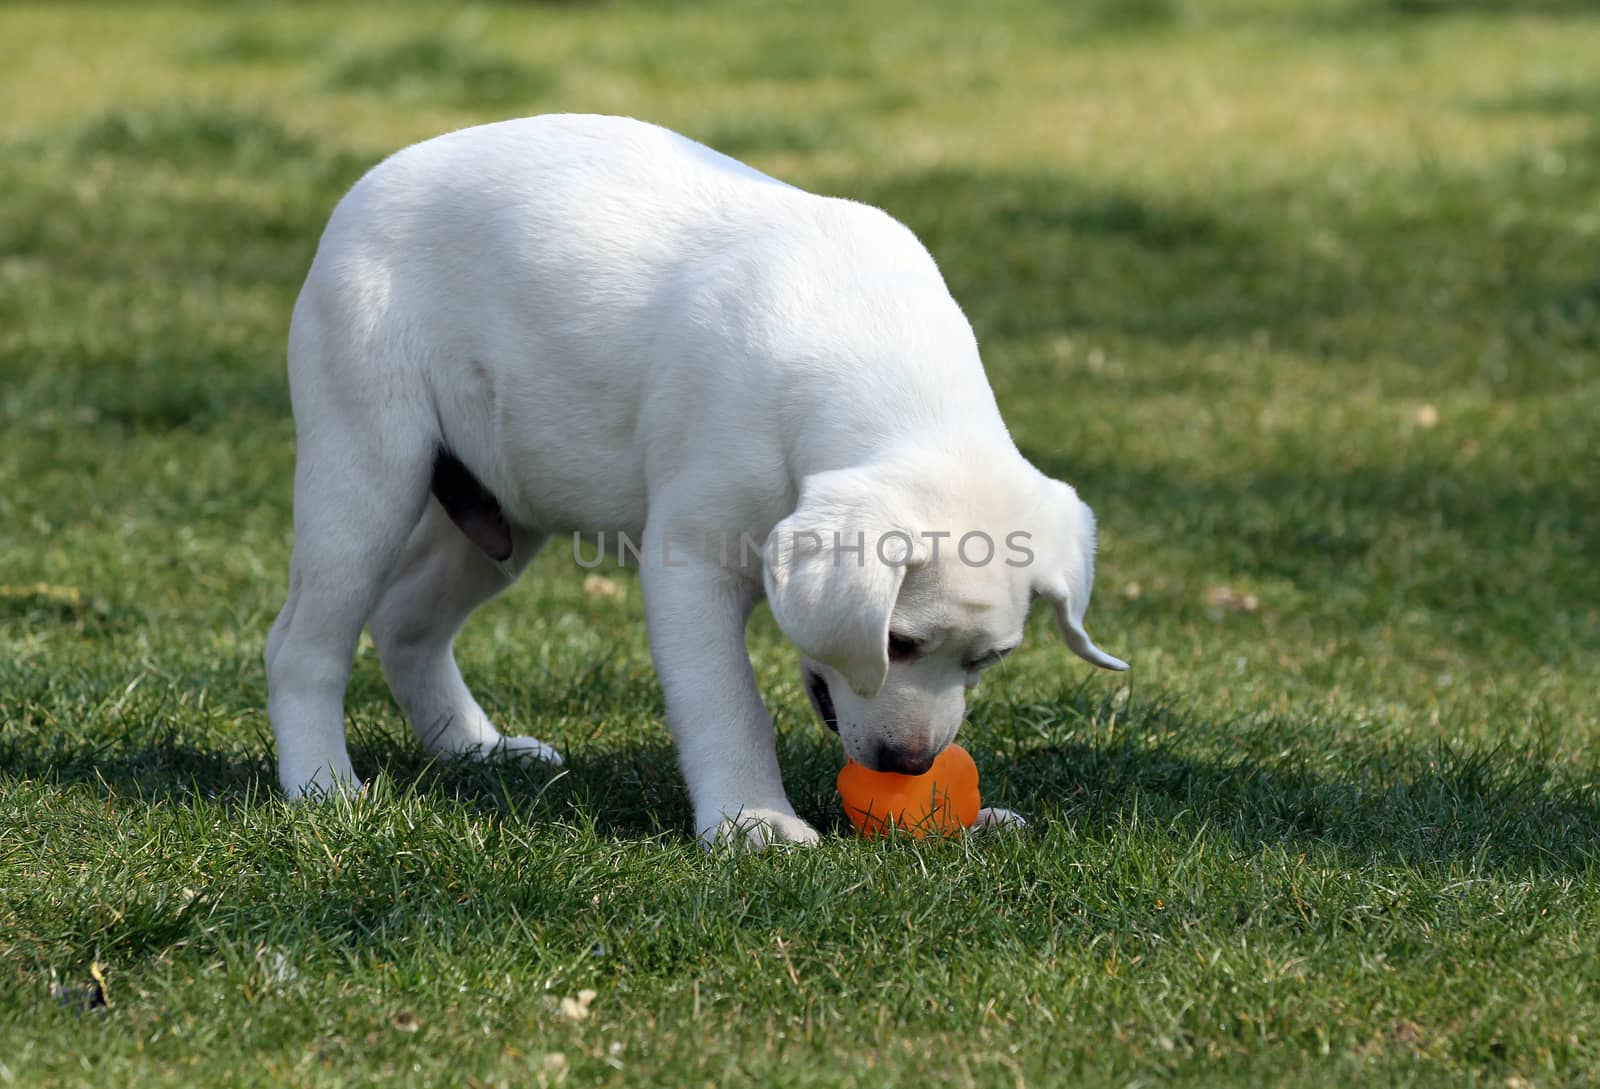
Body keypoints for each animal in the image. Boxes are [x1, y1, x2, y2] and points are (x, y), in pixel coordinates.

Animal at [265, 112, 1126, 837]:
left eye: (988, 660)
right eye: (900, 642)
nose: (910, 766)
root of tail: (371, 182)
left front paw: (972, 819)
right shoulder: (691, 567)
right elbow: (729, 701)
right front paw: (755, 823)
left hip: (500, 512)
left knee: (405, 620)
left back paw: (478, 749)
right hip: (366, 474)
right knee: (303, 645)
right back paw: (324, 786)